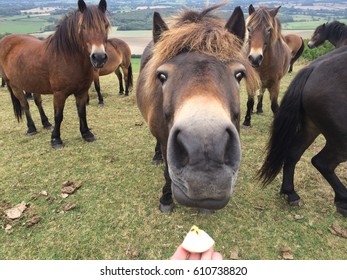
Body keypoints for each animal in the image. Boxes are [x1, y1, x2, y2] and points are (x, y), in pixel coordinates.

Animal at [0, 0, 110, 148]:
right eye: (83, 27)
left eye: (105, 25)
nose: (98, 57)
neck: (67, 56)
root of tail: (6, 40)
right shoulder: (59, 94)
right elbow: (58, 116)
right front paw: (56, 140)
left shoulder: (82, 92)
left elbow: (82, 112)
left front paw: (86, 133)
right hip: (15, 85)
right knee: (25, 105)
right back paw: (31, 128)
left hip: (34, 83)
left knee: (38, 102)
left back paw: (46, 123)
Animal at [137, 4, 260, 212]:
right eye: (162, 76)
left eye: (239, 74)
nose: (205, 154)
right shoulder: (165, 141)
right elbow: (168, 172)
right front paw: (166, 199)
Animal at [258, 46, 347, 217]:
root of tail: (312, 69)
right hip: (341, 141)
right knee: (322, 162)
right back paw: (343, 199)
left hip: (311, 128)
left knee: (293, 155)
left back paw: (291, 193)